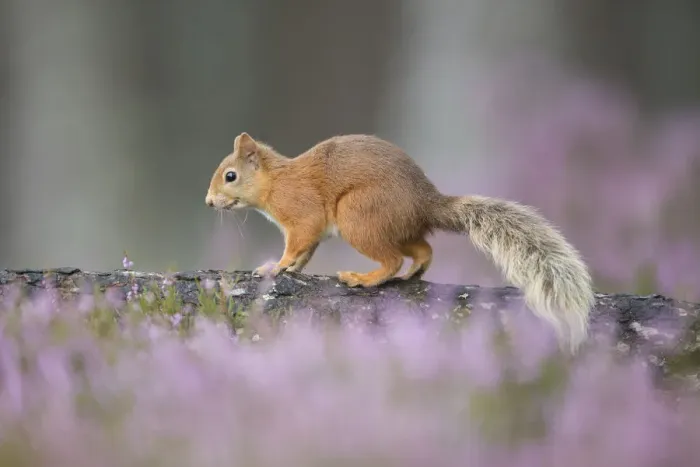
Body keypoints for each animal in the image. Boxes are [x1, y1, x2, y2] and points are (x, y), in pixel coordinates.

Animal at [205, 132, 595, 352]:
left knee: (391, 259)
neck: (275, 182)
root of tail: (425, 202)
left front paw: (276, 266)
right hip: (394, 229)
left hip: (358, 217)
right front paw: (290, 268)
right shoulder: (310, 232)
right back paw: (413, 274)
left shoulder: (302, 215)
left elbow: (298, 243)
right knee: (423, 249)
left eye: (230, 176)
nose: (209, 203)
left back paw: (364, 279)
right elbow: (306, 253)